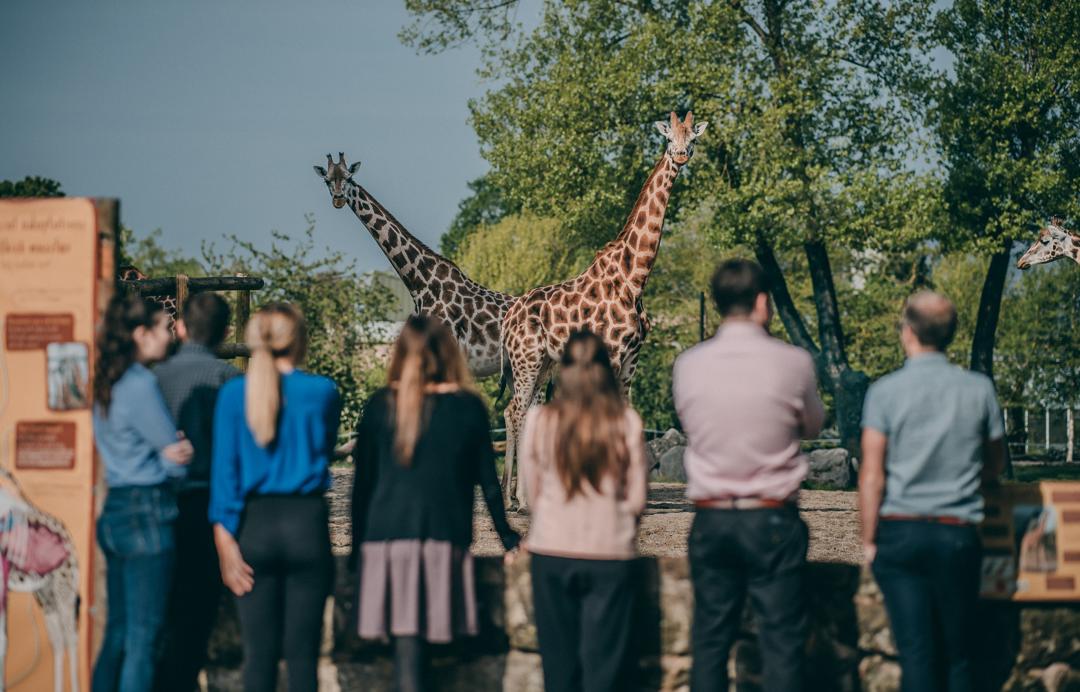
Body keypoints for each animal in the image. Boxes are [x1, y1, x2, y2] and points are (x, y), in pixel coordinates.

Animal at [500, 111, 706, 507]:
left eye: (693, 138)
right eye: (668, 137)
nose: (681, 156)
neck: (634, 277)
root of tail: (508, 318)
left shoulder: (632, 358)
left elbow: (628, 417)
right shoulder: (610, 352)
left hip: (544, 362)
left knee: (528, 413)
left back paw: (528, 499)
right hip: (526, 360)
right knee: (513, 411)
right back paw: (510, 499)